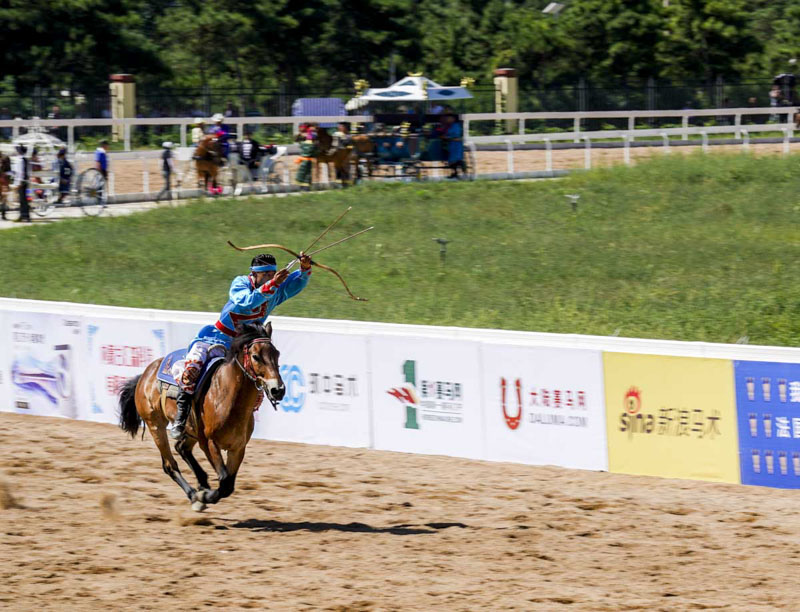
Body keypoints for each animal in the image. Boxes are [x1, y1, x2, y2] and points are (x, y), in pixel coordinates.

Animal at [116, 322, 284, 510]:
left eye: (277, 354)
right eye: (255, 356)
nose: (278, 389)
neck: (225, 398)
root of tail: (145, 374)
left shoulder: (238, 448)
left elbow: (229, 485)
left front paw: (205, 492)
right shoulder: (209, 443)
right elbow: (224, 480)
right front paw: (203, 497)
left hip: (191, 431)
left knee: (181, 448)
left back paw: (202, 484)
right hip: (156, 425)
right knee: (169, 465)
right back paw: (193, 495)